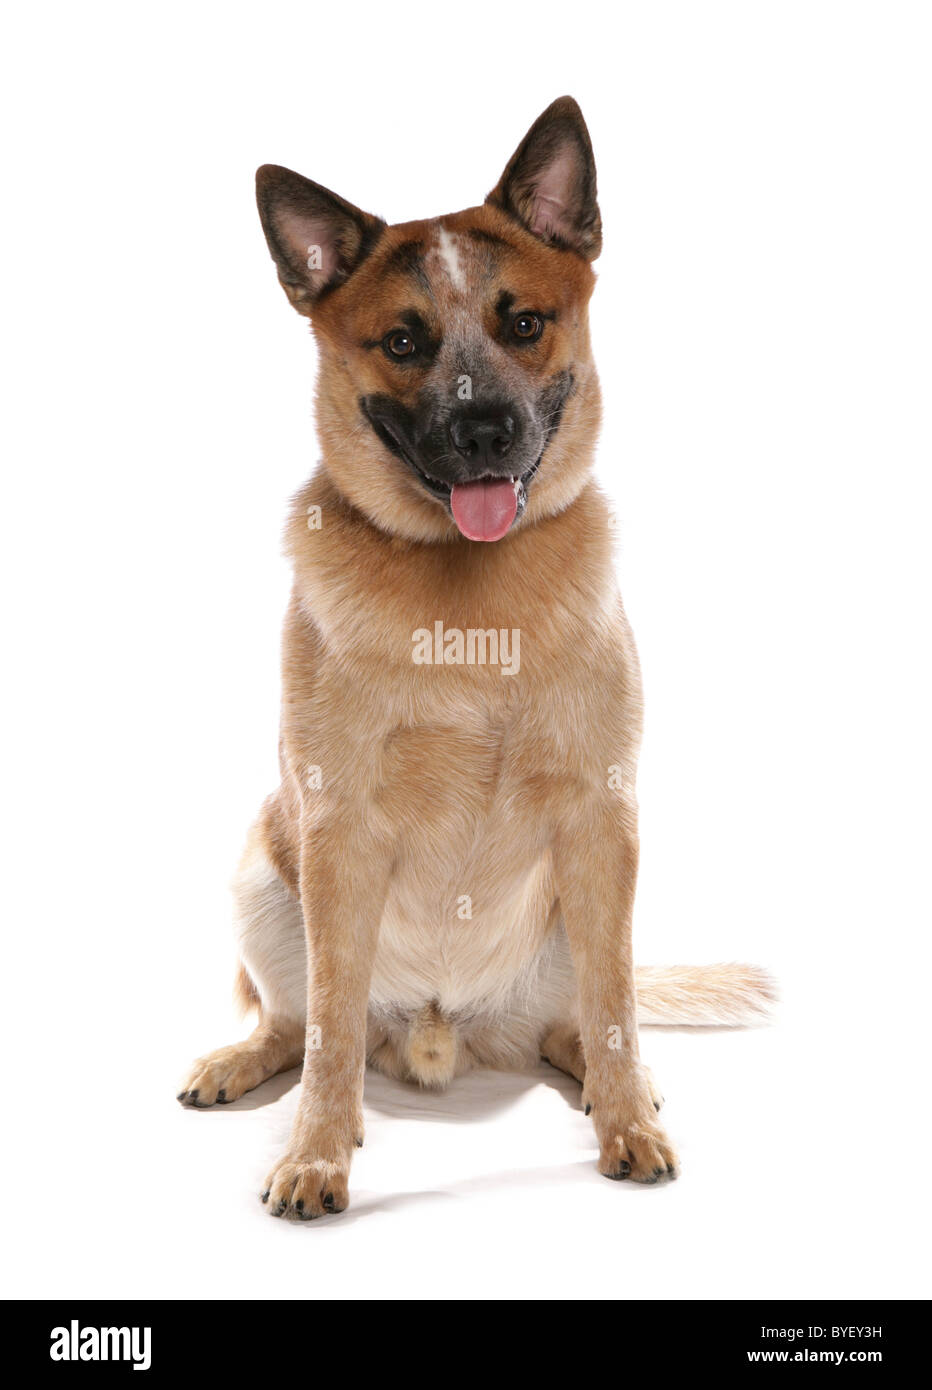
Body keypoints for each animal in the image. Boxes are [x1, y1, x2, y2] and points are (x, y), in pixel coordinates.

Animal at [175, 95, 772, 1217]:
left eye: (523, 323)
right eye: (403, 340)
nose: (486, 427)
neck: (470, 605)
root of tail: (449, 1028)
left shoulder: (602, 818)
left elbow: (617, 1009)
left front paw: (627, 1122)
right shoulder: (336, 831)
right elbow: (326, 1033)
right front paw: (315, 1152)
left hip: (577, 922)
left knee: (586, 1020)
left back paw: (617, 1083)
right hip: (262, 878)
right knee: (297, 1024)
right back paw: (248, 1067)